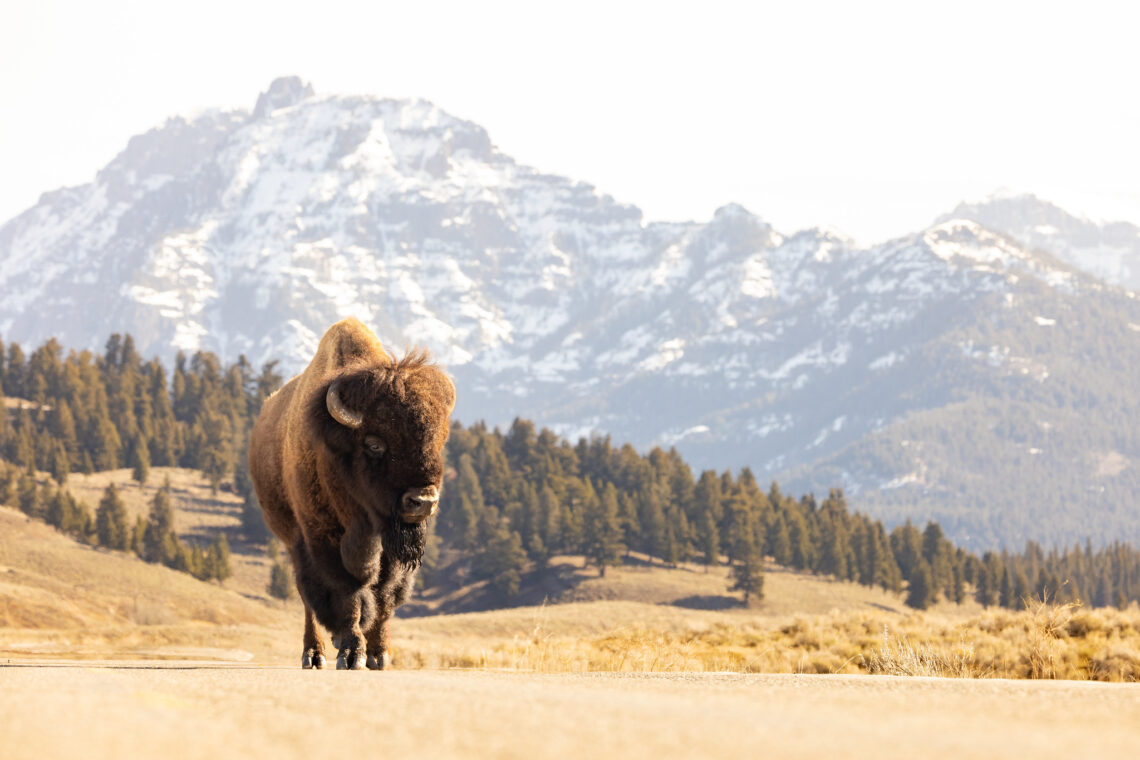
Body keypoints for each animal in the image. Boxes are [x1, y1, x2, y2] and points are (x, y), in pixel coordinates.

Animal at [249, 318, 454, 669]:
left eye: (437, 441)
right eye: (374, 444)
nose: (422, 502)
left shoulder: (391, 548)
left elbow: (383, 597)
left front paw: (379, 654)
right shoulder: (322, 539)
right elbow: (347, 594)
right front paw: (351, 653)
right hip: (292, 540)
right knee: (307, 598)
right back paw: (314, 654)